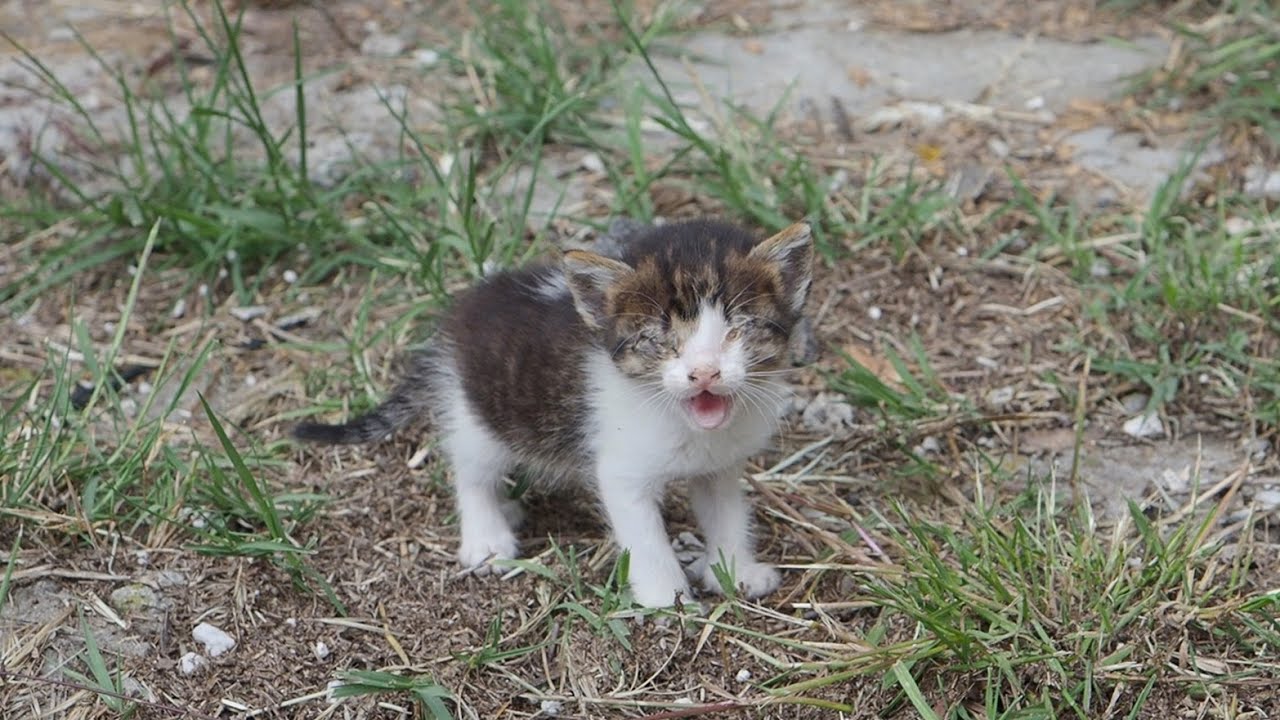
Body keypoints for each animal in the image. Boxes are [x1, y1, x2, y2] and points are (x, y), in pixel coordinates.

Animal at [294, 219, 814, 604]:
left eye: (736, 330)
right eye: (660, 339)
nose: (704, 372)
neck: (684, 421)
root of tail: (454, 320)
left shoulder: (719, 464)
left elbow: (726, 511)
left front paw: (737, 569)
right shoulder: (622, 472)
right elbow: (644, 536)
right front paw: (666, 597)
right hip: (479, 411)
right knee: (471, 469)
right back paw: (486, 536)